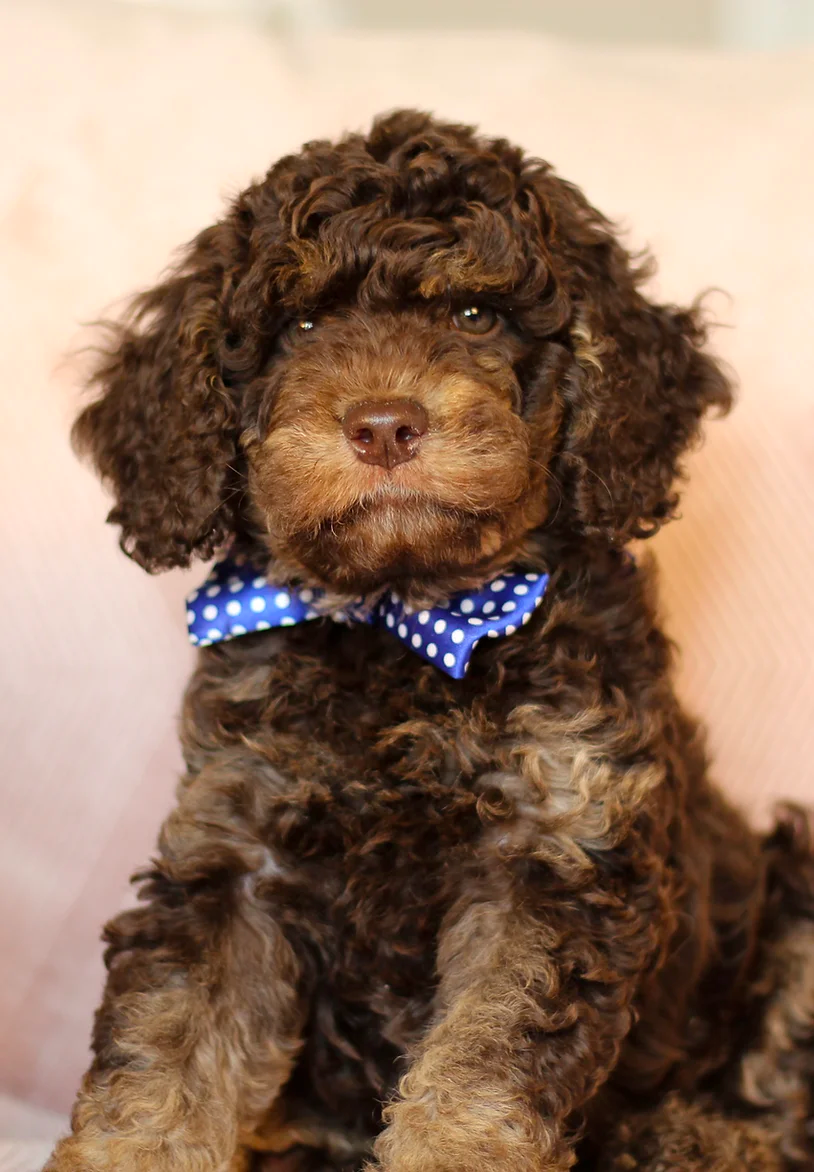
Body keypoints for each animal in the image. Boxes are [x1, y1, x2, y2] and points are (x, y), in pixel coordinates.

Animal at [47, 110, 814, 1172]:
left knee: (777, 1103)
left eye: (476, 316)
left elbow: (482, 1067)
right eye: (301, 327)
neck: (399, 623)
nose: (384, 426)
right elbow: (164, 1049)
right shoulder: (234, 851)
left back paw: (687, 1137)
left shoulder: (553, 847)